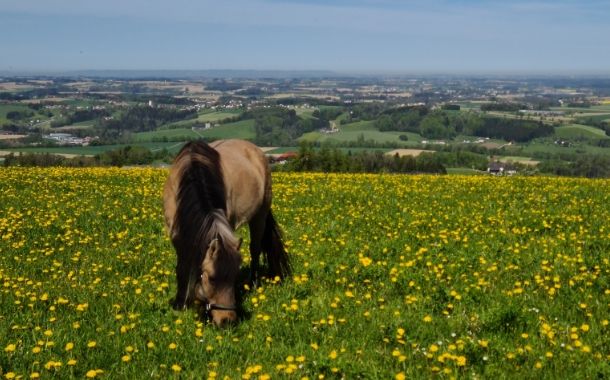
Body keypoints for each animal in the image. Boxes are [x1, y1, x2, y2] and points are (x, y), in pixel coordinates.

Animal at [163, 140, 288, 326]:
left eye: (234, 277)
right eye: (212, 278)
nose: (227, 321)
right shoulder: (177, 235)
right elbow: (182, 266)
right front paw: (181, 304)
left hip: (260, 214)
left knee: (255, 249)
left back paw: (253, 283)